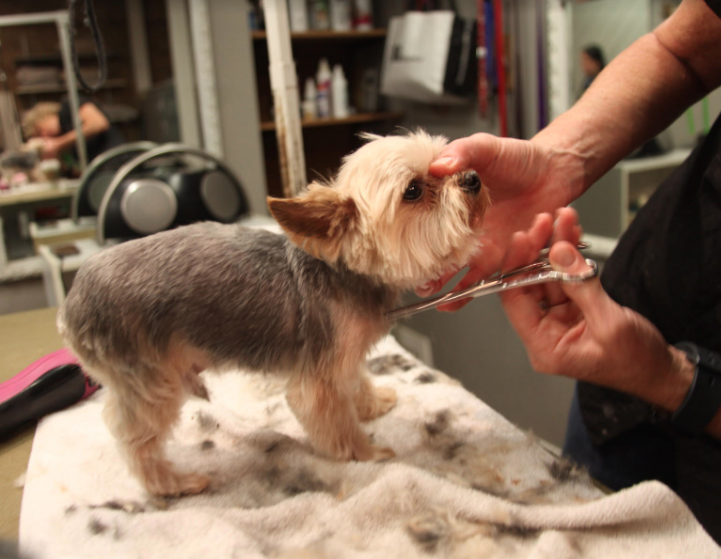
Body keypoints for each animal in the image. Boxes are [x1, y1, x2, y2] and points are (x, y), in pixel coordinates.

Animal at [57, 132, 490, 498]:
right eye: (413, 191)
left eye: (444, 164)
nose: (473, 177)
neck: (344, 271)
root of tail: (69, 305)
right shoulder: (319, 377)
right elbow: (336, 421)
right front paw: (366, 453)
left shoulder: (343, 354)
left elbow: (356, 379)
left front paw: (372, 402)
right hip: (150, 380)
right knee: (136, 439)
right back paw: (173, 483)